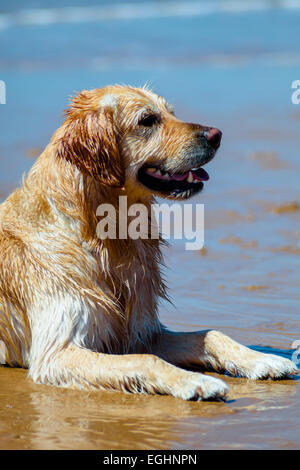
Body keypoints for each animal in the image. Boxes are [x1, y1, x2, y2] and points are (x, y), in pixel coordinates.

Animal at [0, 85, 296, 400]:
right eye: (147, 120)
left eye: (171, 112)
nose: (216, 135)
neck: (103, 235)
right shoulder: (56, 353)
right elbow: (147, 360)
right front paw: (196, 382)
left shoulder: (141, 332)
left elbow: (211, 334)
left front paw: (264, 359)